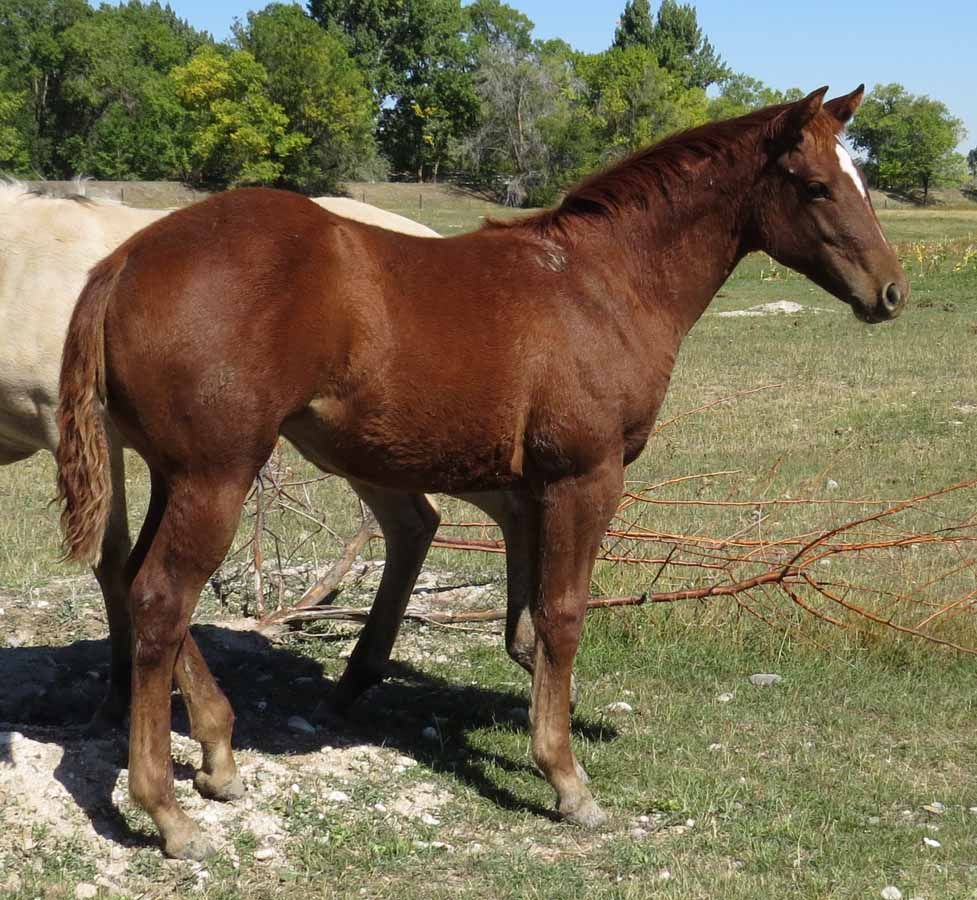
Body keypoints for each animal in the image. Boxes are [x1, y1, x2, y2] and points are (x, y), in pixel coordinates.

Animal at [56, 86, 908, 859]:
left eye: (862, 181)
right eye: (816, 185)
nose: (890, 292)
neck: (601, 285)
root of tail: (125, 259)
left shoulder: (527, 493)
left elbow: (525, 629)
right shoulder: (584, 478)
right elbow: (562, 617)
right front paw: (566, 780)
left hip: (176, 473)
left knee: (137, 583)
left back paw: (219, 757)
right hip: (218, 475)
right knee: (163, 598)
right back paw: (166, 810)